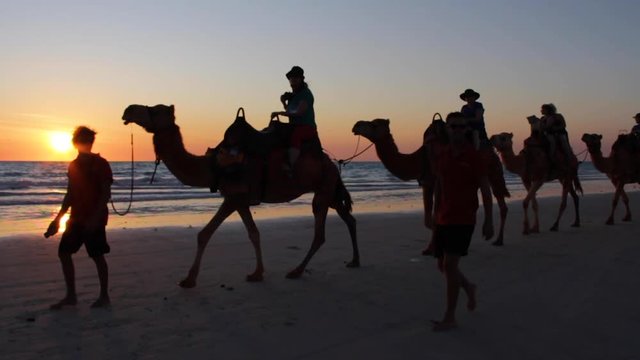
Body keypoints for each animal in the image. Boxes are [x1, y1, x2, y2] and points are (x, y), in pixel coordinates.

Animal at [121, 104, 360, 286]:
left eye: (156, 109)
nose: (128, 110)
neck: (213, 166)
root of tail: (330, 162)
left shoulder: (233, 197)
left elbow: (205, 234)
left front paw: (188, 279)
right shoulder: (240, 200)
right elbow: (253, 233)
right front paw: (257, 273)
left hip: (323, 190)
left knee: (320, 233)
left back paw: (297, 271)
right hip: (329, 191)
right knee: (349, 219)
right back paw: (354, 261)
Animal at [350, 118, 510, 248]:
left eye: (374, 124)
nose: (356, 125)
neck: (419, 159)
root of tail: (492, 150)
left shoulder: (438, 180)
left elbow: (435, 217)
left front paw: (434, 248)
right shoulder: (427, 183)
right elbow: (428, 220)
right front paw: (430, 248)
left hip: (494, 173)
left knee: (498, 202)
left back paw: (497, 239)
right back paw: (496, 239)